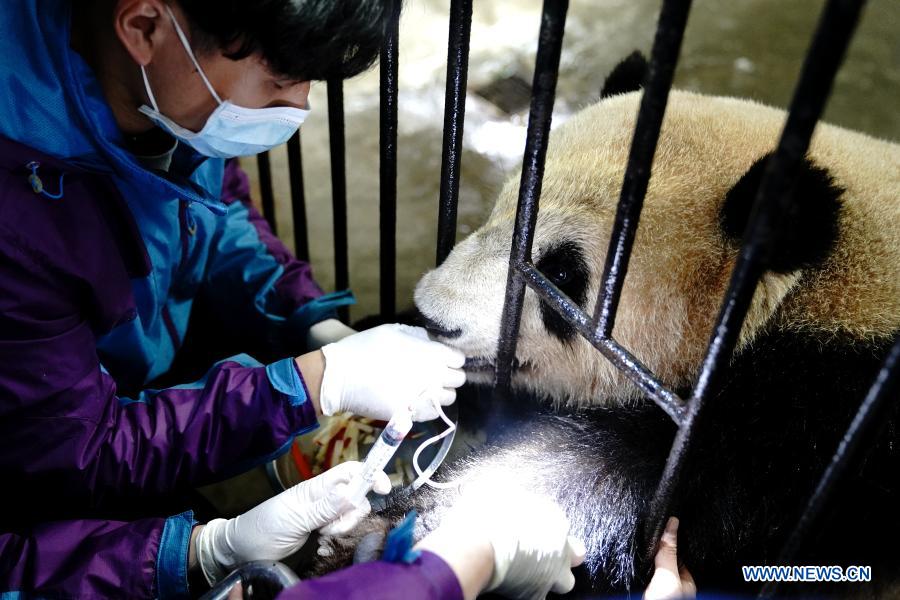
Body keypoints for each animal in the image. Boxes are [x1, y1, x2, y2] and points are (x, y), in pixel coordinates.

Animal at [312, 55, 900, 596]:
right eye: (503, 209)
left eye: (560, 272)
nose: (435, 316)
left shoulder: (809, 422)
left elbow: (612, 479)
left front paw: (397, 536)